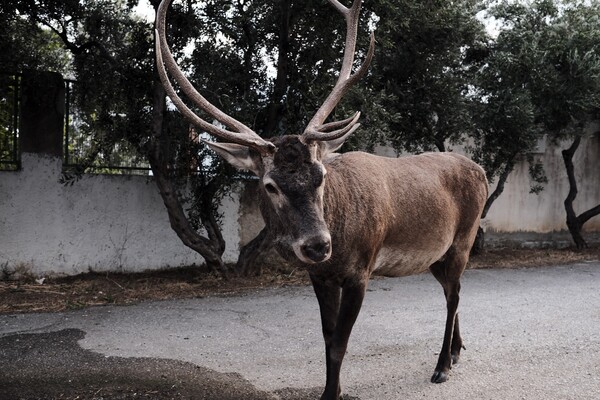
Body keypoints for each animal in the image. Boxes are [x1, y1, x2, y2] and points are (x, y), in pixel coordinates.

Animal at [155, 0, 488, 400]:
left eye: (321, 175)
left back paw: (441, 366)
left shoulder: (361, 270)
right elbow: (328, 339)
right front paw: (332, 388)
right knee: (455, 292)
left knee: (453, 295)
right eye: (270, 185)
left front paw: (333, 393)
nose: (318, 245)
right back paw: (455, 352)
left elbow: (340, 343)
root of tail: (483, 172)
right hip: (436, 254)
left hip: (463, 239)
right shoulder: (320, 276)